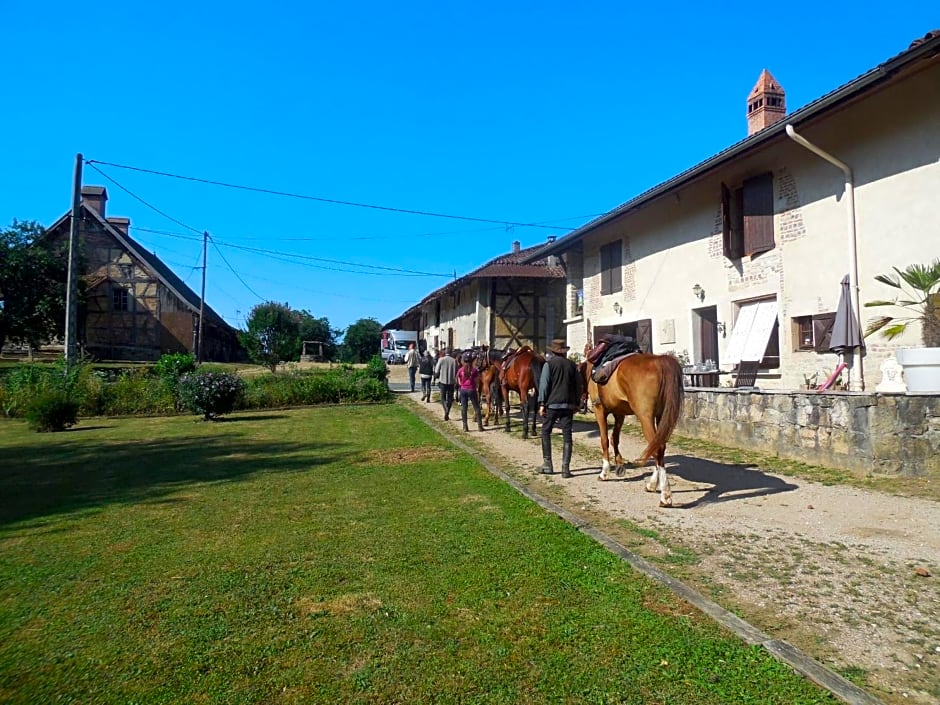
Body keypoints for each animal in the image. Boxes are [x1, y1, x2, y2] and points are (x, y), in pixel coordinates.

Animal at [588, 352, 684, 506]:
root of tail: (659, 361)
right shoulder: (619, 413)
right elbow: (615, 438)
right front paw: (619, 465)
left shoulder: (599, 410)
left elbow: (604, 440)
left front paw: (604, 472)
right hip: (660, 416)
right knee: (658, 446)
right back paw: (652, 485)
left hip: (645, 417)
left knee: (657, 448)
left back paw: (665, 495)